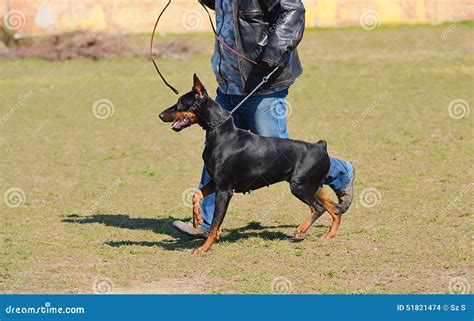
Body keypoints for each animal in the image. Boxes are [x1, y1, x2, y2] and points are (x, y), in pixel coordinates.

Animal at [159, 75, 340, 252]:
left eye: (181, 102)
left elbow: (216, 223)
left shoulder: (224, 189)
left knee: (319, 208)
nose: (160, 115)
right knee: (335, 208)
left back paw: (301, 229)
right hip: (312, 186)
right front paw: (197, 219)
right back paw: (329, 234)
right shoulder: (215, 182)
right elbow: (197, 194)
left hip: (300, 187)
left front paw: (204, 247)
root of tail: (320, 146)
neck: (219, 132)